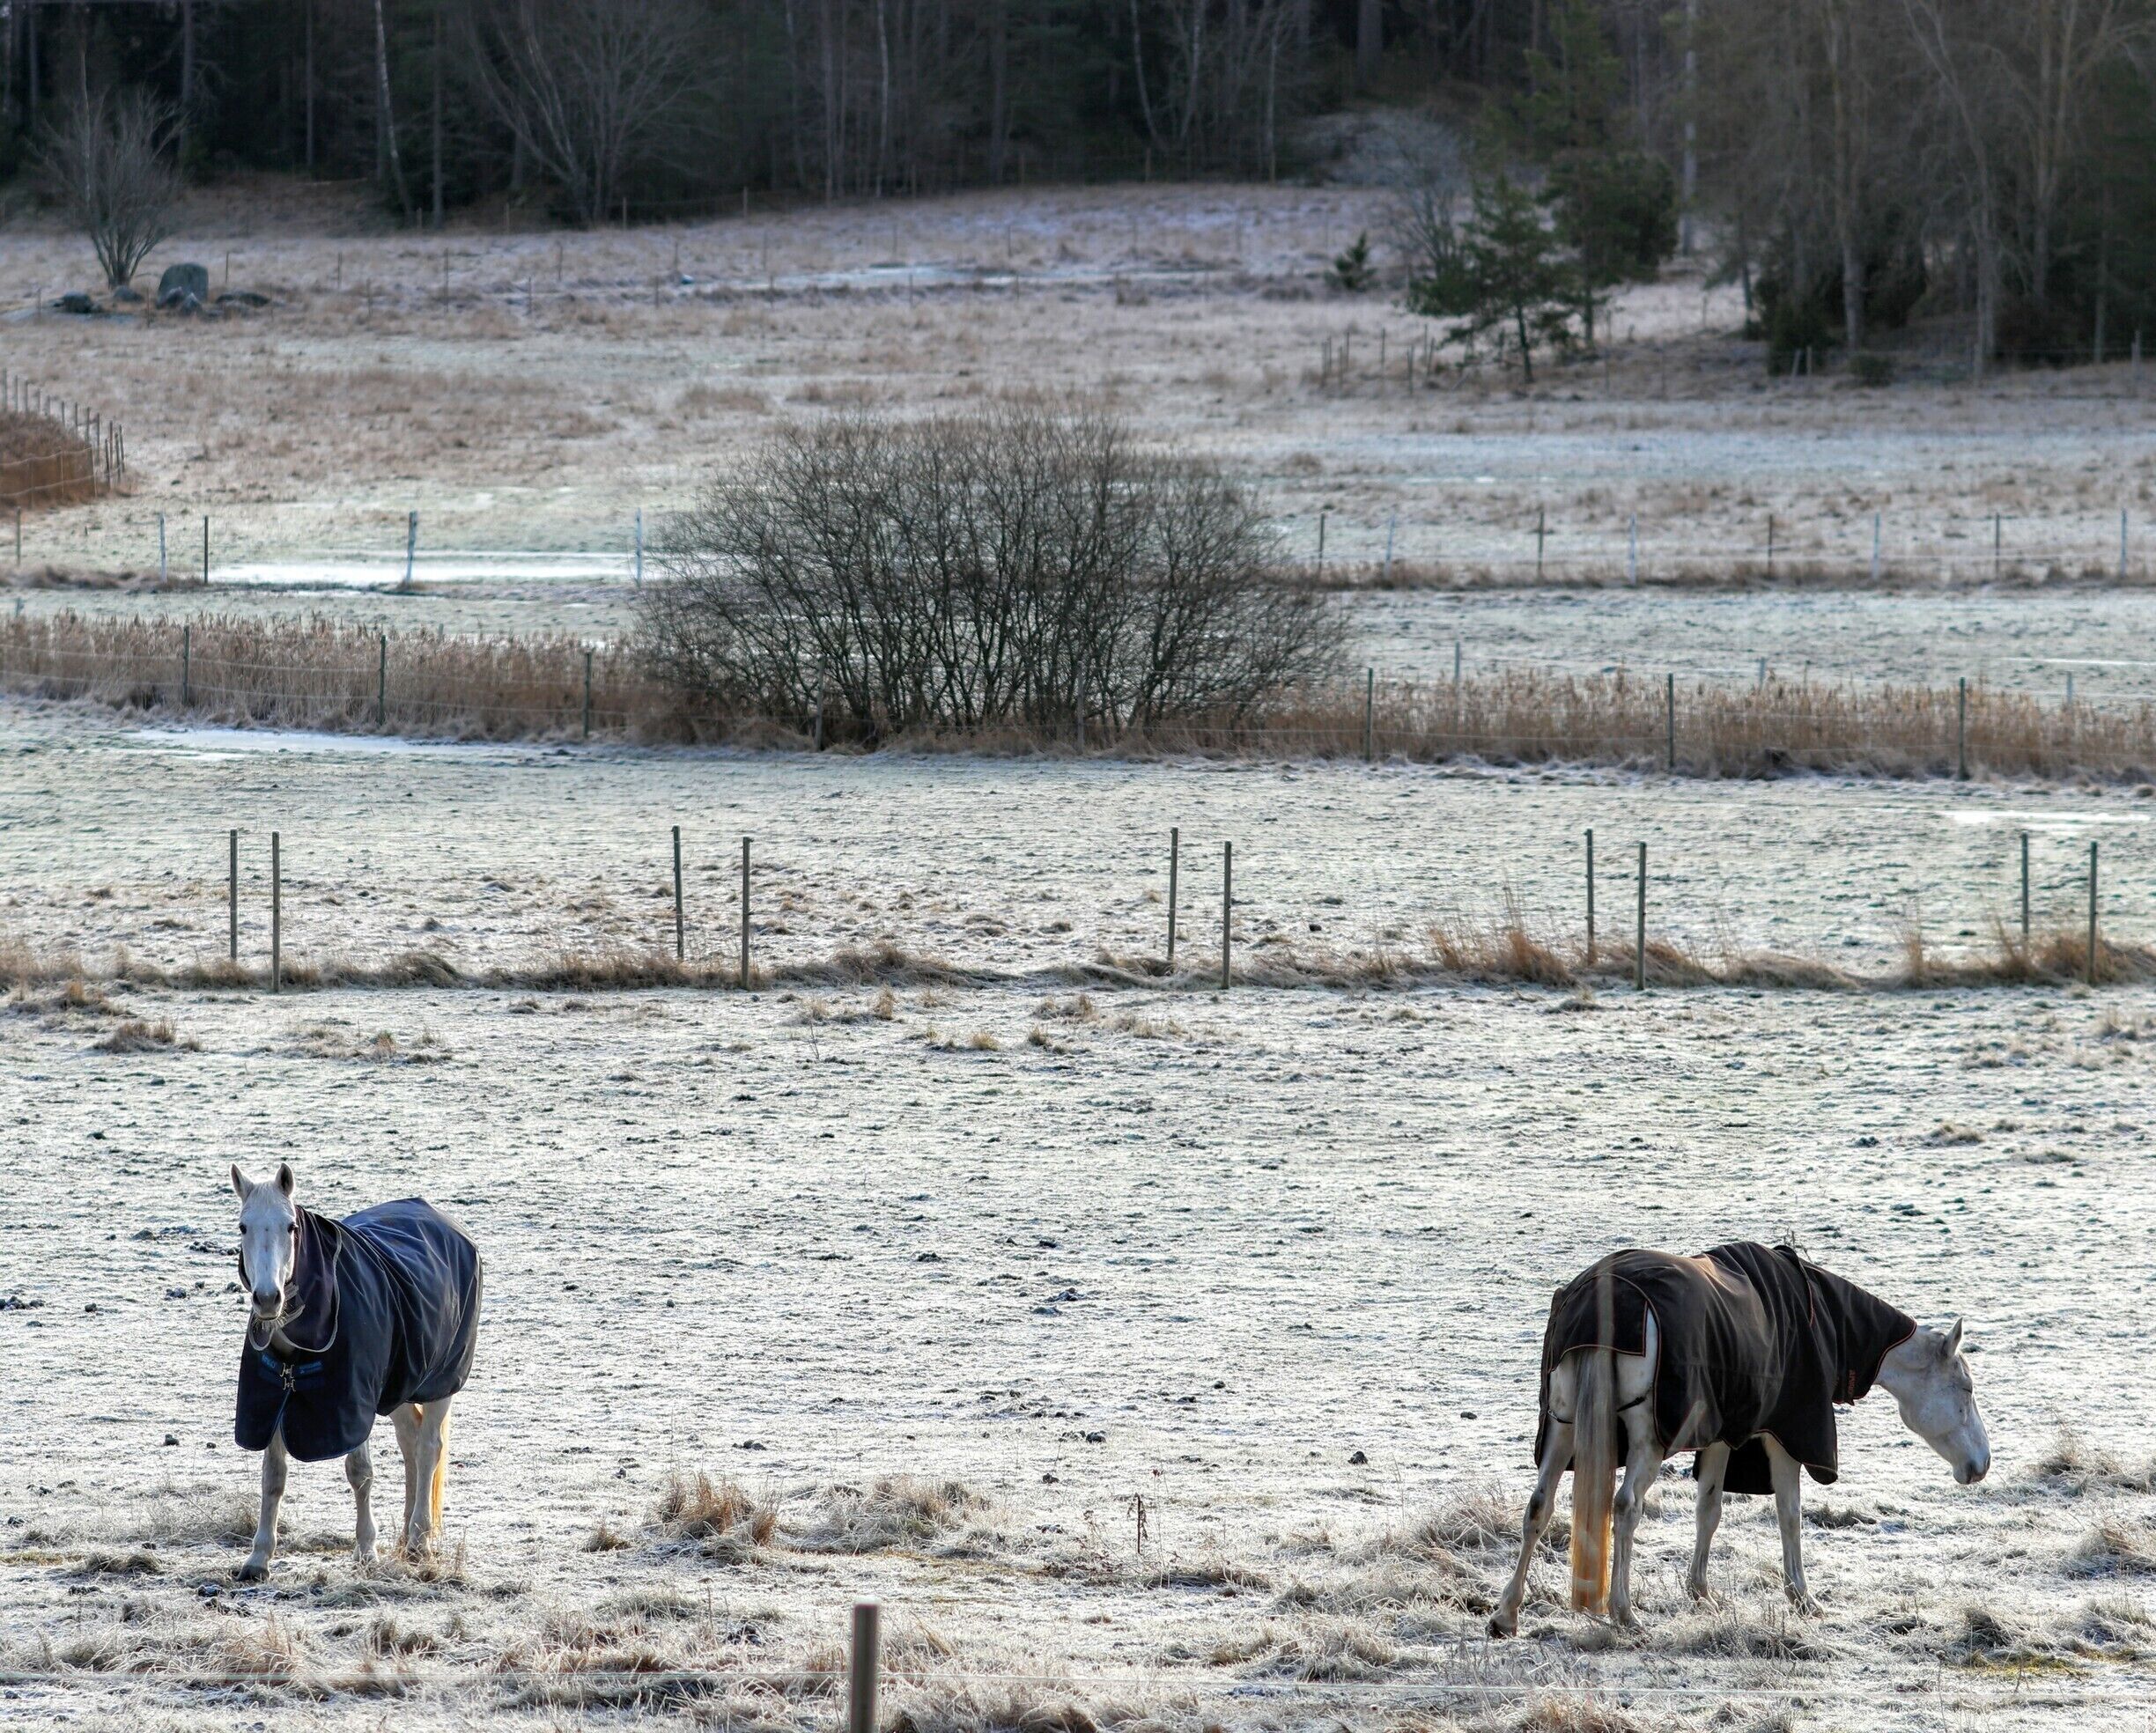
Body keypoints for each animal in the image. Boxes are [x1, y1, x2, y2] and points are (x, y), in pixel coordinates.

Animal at [230, 1163, 483, 1580]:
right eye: (243, 1227)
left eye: (290, 1226)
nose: (267, 1299)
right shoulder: (274, 1397)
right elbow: (273, 1477)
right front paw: (258, 1559)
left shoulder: (352, 1403)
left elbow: (359, 1471)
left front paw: (366, 1551)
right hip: (398, 1384)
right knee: (411, 1442)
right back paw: (406, 1536)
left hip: (440, 1384)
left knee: (429, 1448)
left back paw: (419, 1540)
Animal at [1488, 1242, 1988, 1634]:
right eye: (1966, 1388)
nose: (1981, 1464)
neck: (1817, 1312)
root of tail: (1601, 1299)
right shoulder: (1785, 1436)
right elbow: (1789, 1514)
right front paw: (1802, 1598)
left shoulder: (1723, 1434)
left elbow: (1708, 1510)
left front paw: (1701, 1593)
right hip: (1647, 1441)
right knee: (1626, 1507)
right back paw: (1624, 1614)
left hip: (1563, 1427)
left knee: (1538, 1506)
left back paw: (1507, 1614)